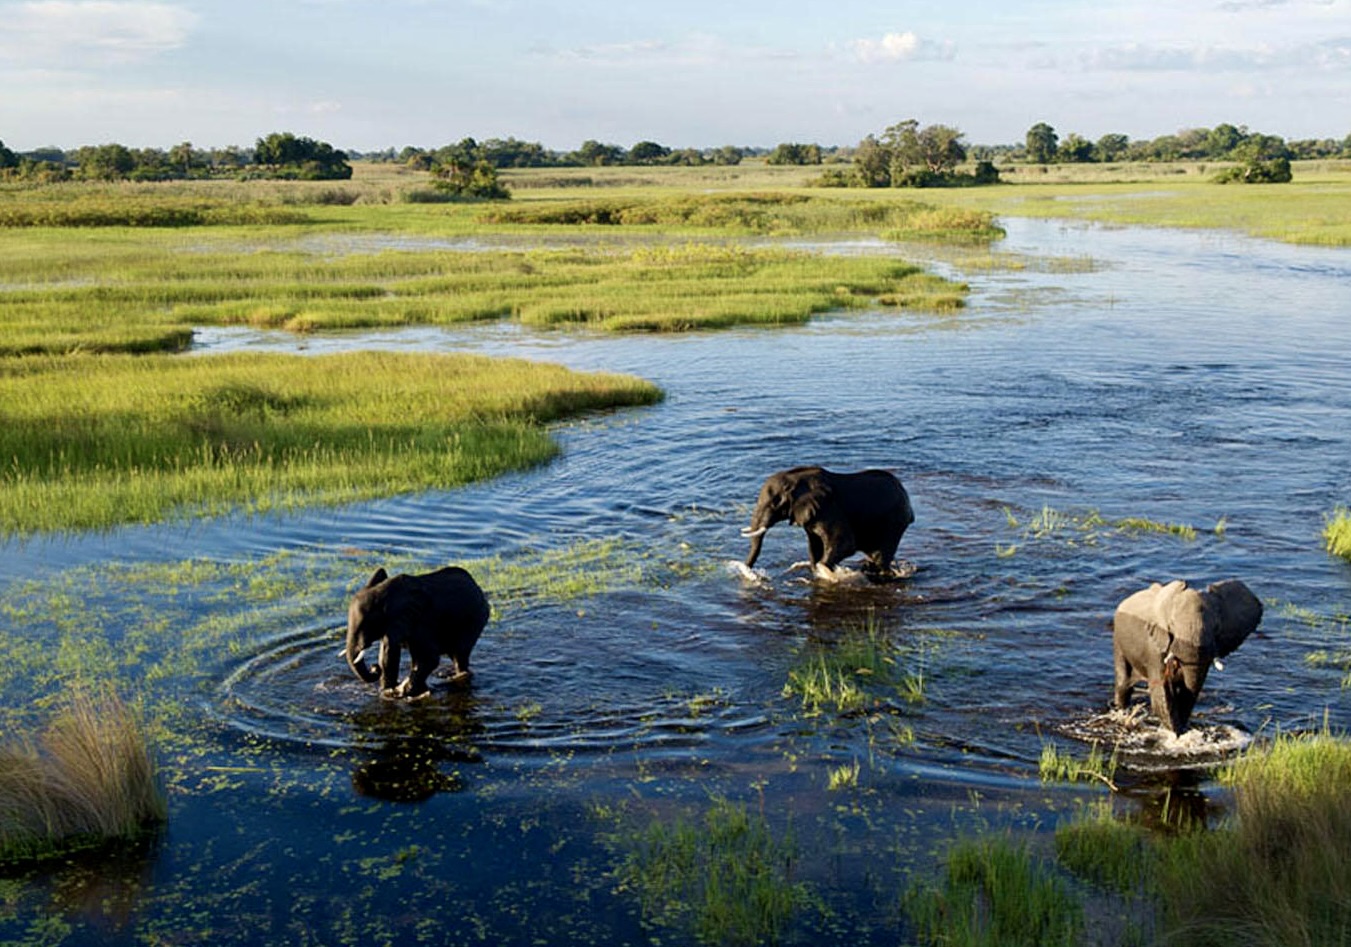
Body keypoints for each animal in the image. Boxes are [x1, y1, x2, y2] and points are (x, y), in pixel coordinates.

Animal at [345, 564, 494, 697]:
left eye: (366, 623)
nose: (374, 668)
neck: (385, 593)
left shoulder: (423, 622)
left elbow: (430, 658)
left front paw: (404, 692)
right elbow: (388, 653)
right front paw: (388, 692)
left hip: (476, 619)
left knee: (460, 654)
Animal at [740, 464, 918, 580]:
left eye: (775, 502)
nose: (755, 576)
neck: (795, 478)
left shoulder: (828, 507)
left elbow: (845, 544)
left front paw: (826, 573)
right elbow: (815, 546)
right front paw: (816, 570)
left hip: (895, 520)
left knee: (882, 555)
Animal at [1113, 575, 1259, 729]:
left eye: (1216, 627)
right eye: (1172, 625)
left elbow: (1189, 689)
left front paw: (1181, 729)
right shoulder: (1154, 648)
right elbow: (1162, 692)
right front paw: (1175, 732)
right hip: (1118, 639)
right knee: (1123, 683)